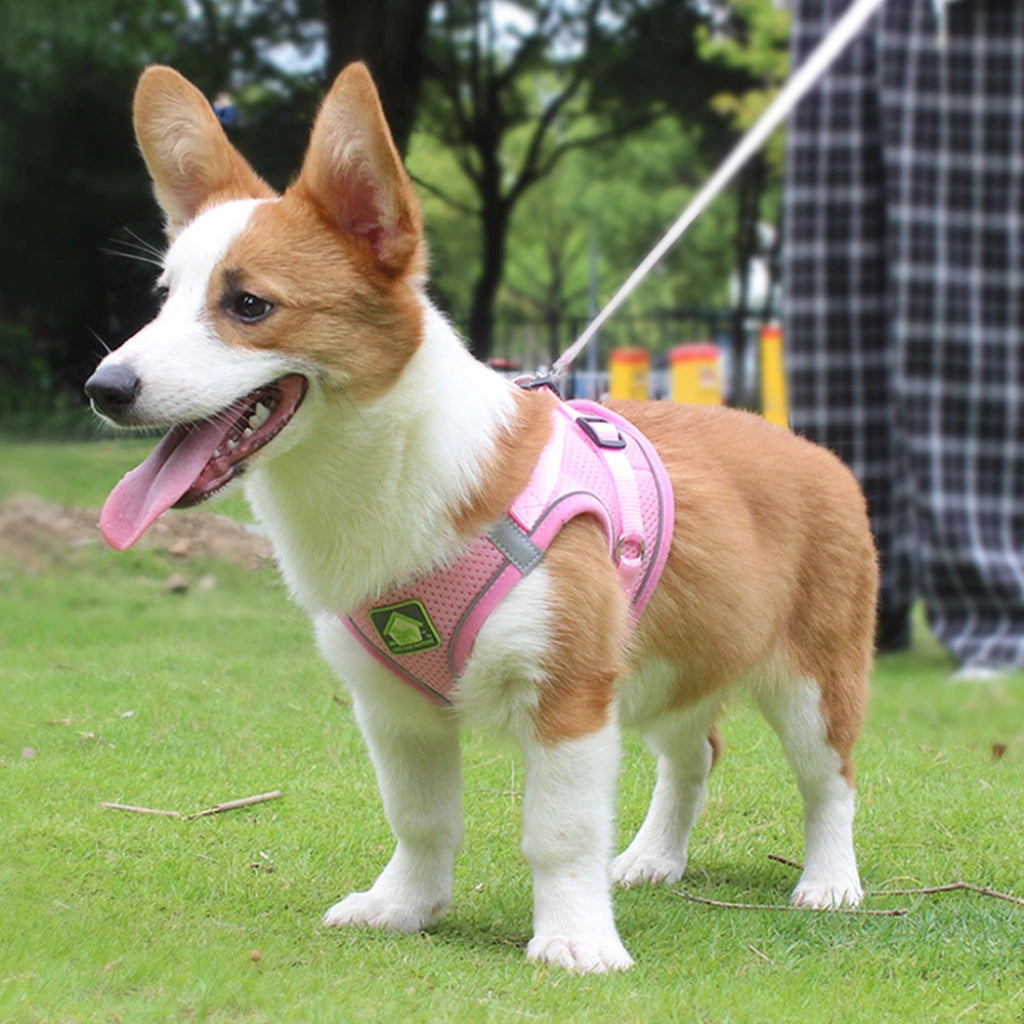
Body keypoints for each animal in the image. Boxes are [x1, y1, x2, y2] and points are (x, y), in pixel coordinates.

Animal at [83, 59, 876, 970]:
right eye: (164, 297)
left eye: (248, 304)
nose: (104, 388)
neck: (388, 471)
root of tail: (813, 451)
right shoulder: (394, 711)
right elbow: (420, 819)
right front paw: (405, 907)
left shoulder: (570, 695)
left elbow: (558, 834)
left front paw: (574, 940)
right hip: (672, 665)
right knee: (695, 752)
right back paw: (652, 859)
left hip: (813, 681)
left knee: (829, 778)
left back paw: (829, 881)